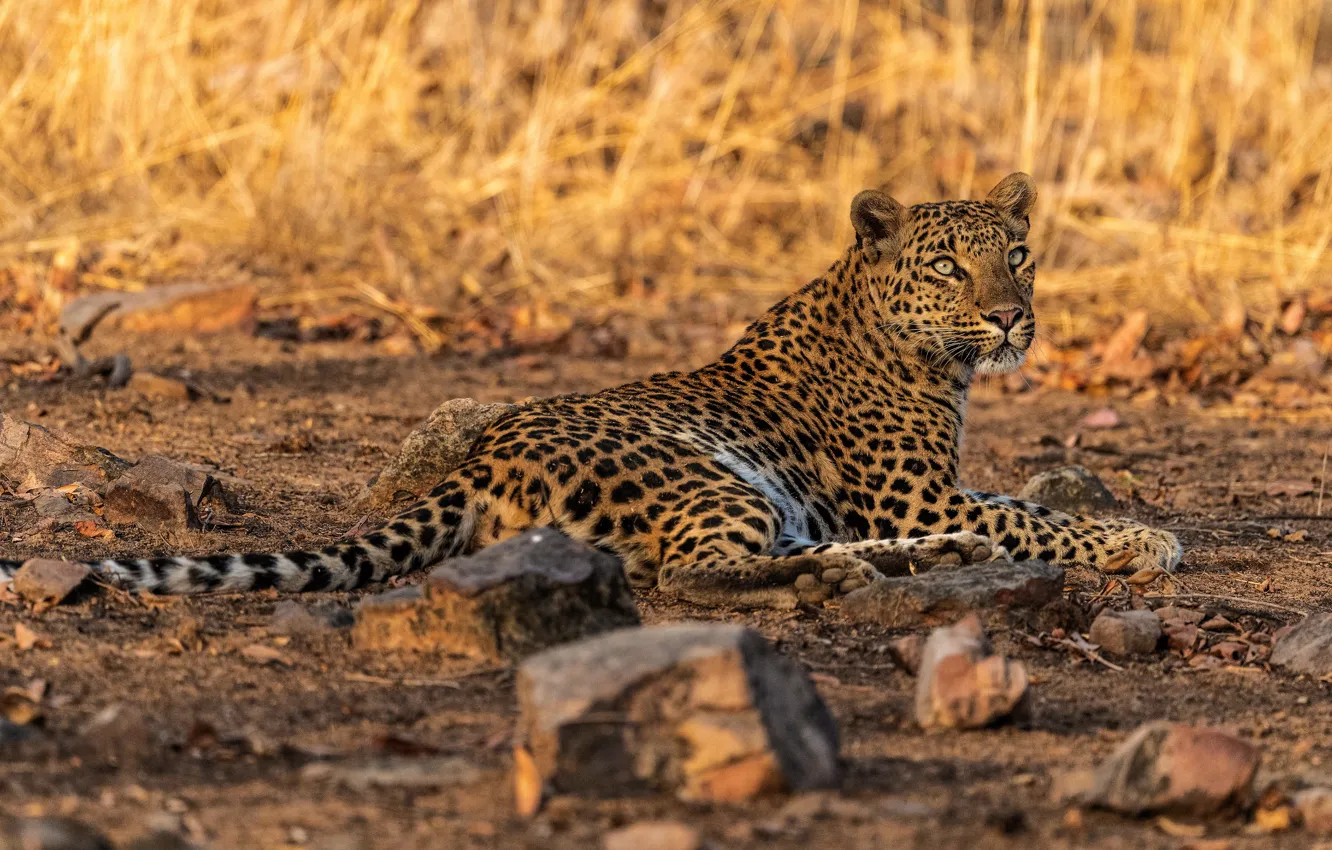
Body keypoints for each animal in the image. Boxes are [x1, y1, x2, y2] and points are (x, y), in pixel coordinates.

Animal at [0, 173, 1182, 608]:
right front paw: (1142, 540)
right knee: (693, 573)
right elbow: (1036, 518)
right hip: (706, 476)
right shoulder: (912, 490)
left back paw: (920, 561)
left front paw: (1135, 531)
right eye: (949, 270)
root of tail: (480, 458)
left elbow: (1026, 506)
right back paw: (880, 566)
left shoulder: (931, 487)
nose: (1013, 317)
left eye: (1018, 256)